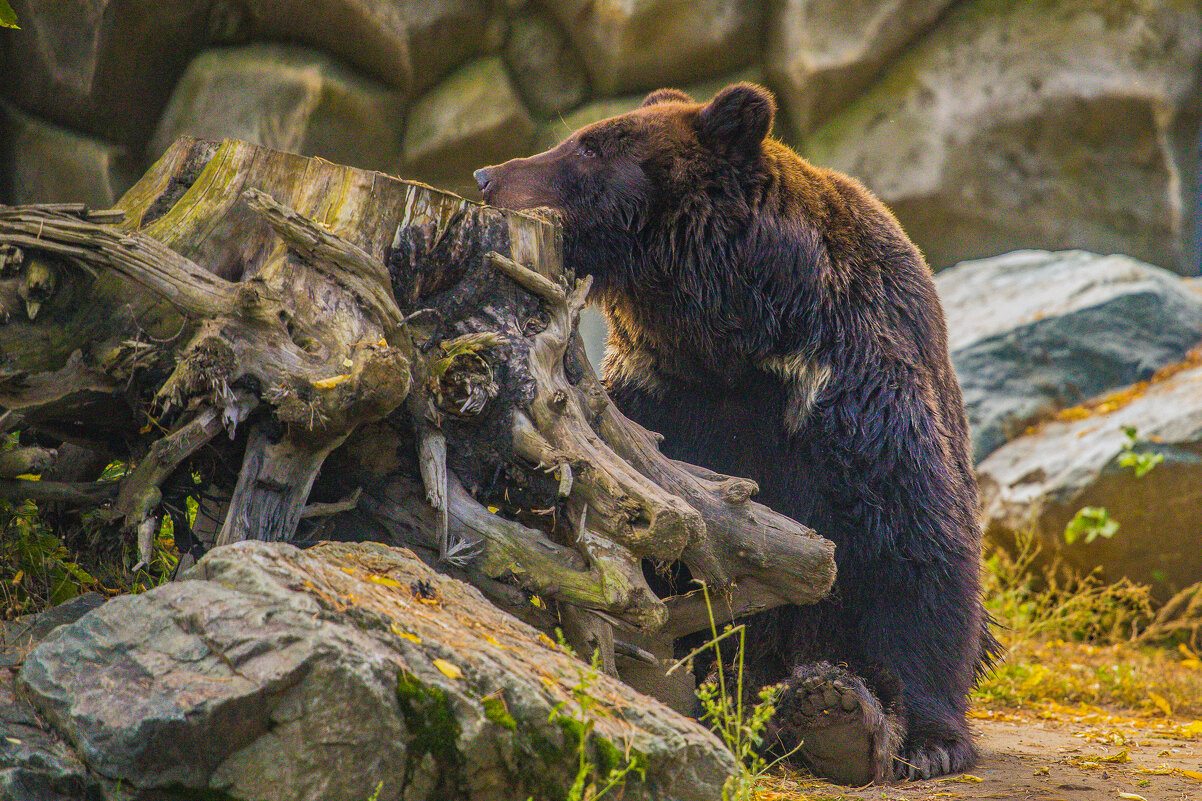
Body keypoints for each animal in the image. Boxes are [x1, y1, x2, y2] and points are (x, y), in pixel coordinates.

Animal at [473, 84, 1000, 784]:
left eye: (589, 146)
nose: (485, 177)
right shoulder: (660, 402)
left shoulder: (853, 393)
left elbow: (909, 543)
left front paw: (927, 740)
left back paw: (832, 712)